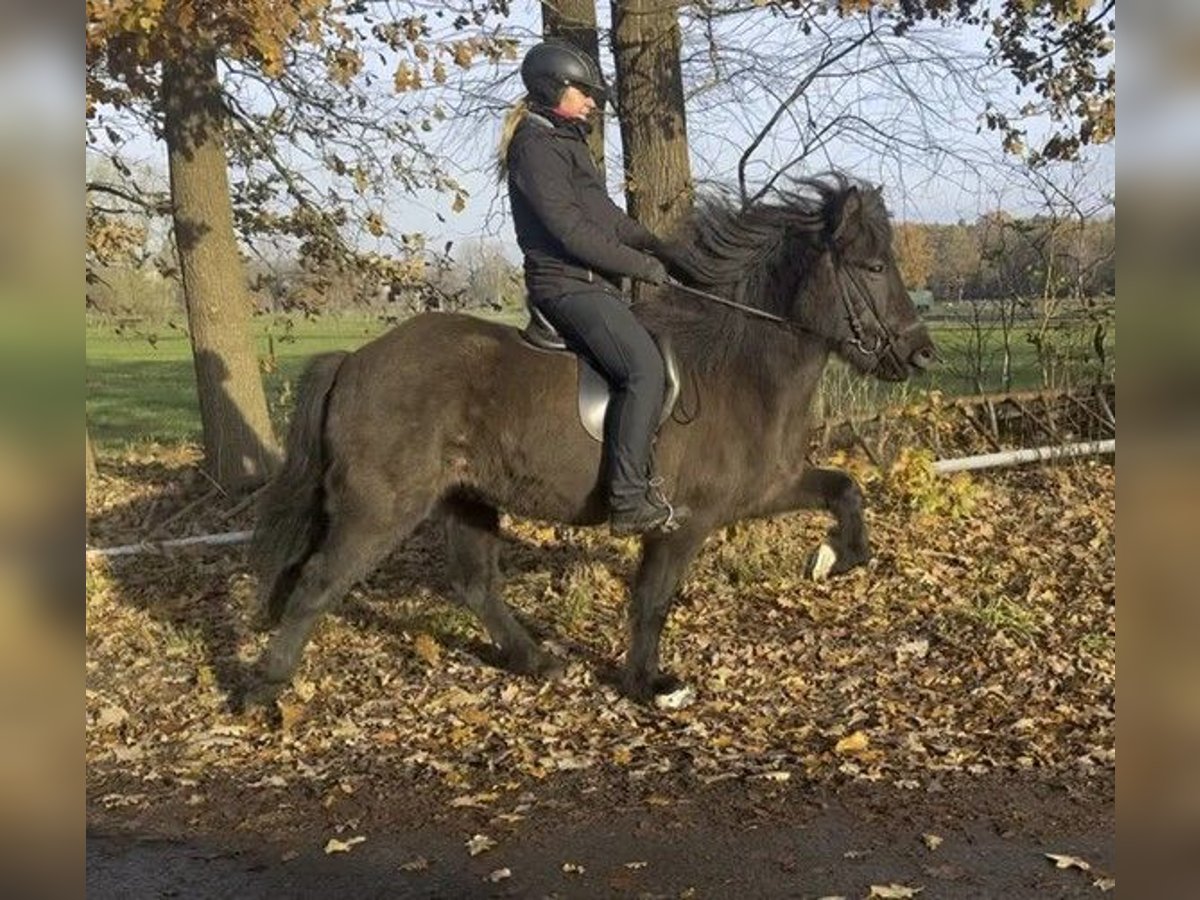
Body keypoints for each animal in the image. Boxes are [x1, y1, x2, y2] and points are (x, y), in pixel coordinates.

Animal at [246, 174, 936, 710]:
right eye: (874, 267)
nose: (921, 354)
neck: (738, 366)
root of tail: (354, 361)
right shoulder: (684, 521)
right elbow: (653, 599)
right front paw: (650, 683)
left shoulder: (766, 488)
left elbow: (845, 489)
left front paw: (838, 557)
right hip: (381, 508)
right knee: (319, 581)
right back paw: (265, 691)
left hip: (466, 499)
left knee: (474, 584)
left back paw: (538, 662)